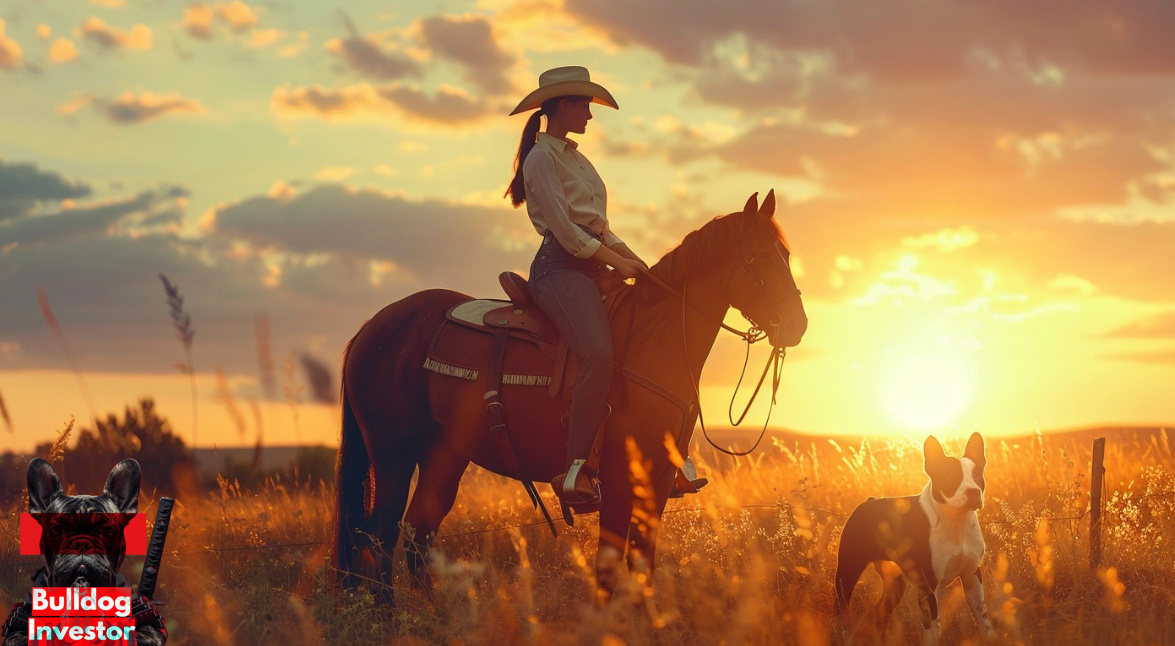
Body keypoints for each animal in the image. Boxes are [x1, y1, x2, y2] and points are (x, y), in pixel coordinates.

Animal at [333, 190, 808, 606]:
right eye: (753, 258)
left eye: (785, 255)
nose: (796, 325)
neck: (652, 340)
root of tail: (371, 327)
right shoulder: (618, 481)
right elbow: (609, 566)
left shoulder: (654, 483)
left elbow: (642, 566)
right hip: (393, 454)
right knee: (379, 538)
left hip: (445, 453)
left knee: (419, 532)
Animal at [836, 432, 991, 643]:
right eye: (950, 477)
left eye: (977, 477)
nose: (973, 491)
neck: (956, 521)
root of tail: (868, 502)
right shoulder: (929, 587)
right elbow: (933, 630)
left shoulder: (972, 576)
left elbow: (983, 620)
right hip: (848, 570)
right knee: (840, 608)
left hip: (895, 580)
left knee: (881, 608)